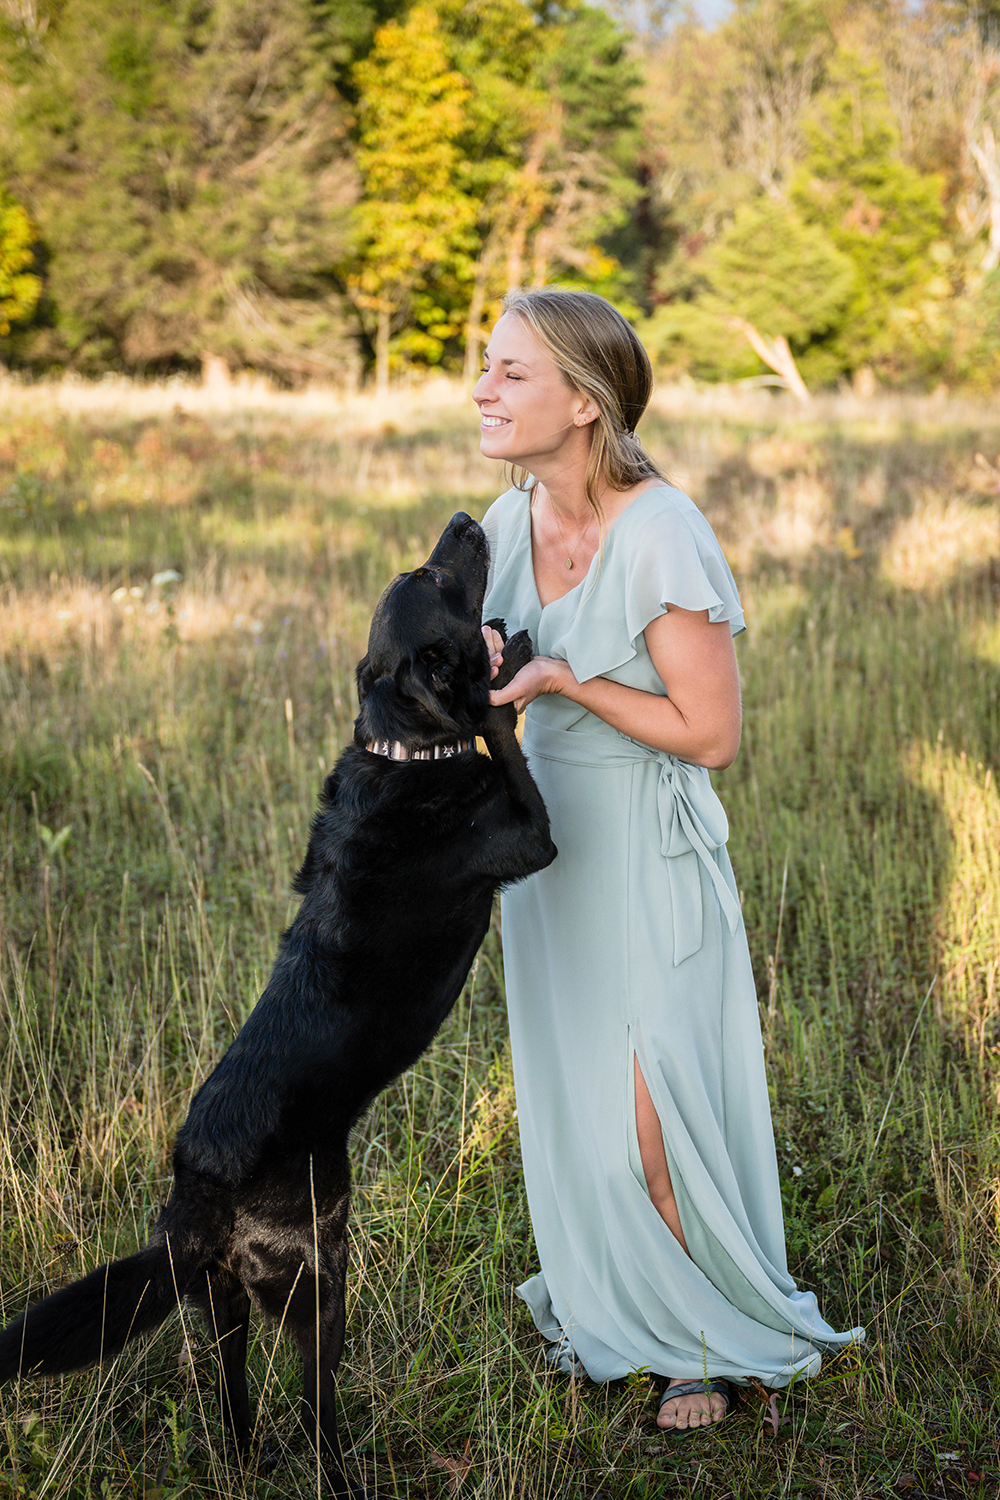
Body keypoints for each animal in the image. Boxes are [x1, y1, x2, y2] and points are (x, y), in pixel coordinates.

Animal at [0, 510, 554, 1494]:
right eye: (432, 578)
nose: (461, 519)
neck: (404, 746)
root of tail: (196, 1186)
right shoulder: (530, 837)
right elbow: (503, 734)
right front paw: (503, 682)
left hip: (220, 1306)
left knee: (234, 1407)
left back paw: (245, 1460)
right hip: (315, 1283)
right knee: (313, 1409)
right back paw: (343, 1472)